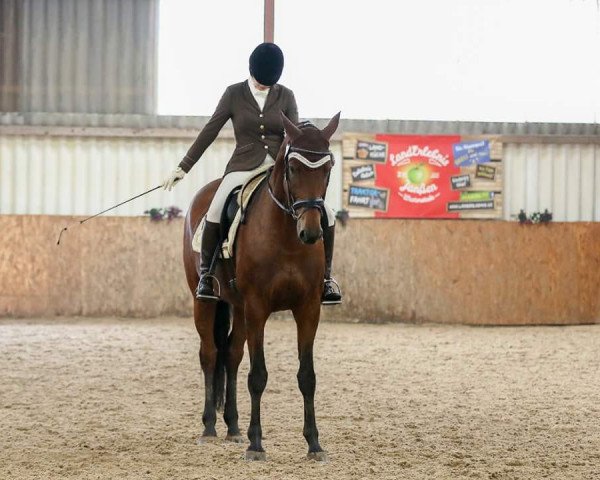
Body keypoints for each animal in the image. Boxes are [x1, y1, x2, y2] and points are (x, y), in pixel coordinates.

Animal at [180, 112, 340, 462]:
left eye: (328, 168)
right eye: (292, 168)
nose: (311, 232)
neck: (288, 238)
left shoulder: (308, 309)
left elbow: (307, 377)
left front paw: (314, 444)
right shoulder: (258, 307)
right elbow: (258, 376)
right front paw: (256, 444)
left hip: (239, 308)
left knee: (231, 355)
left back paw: (233, 427)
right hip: (206, 301)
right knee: (209, 354)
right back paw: (210, 427)